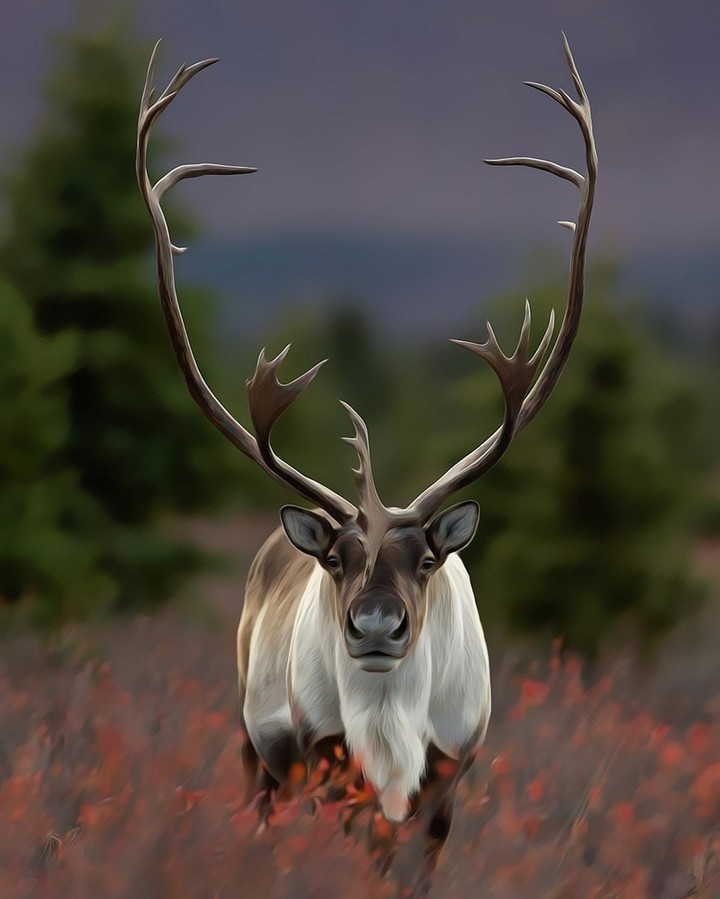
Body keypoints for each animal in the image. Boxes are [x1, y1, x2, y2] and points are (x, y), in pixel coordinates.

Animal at [137, 35, 596, 895]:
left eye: (426, 559)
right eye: (338, 560)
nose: (376, 624)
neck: (390, 728)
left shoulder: (453, 769)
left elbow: (415, 864)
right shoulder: (323, 759)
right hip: (257, 743)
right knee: (263, 814)